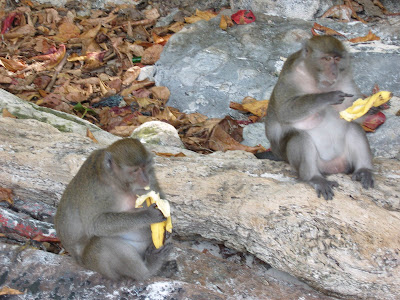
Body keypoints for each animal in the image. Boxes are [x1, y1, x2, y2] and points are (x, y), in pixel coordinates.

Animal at [54, 138, 170, 282]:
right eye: (135, 170)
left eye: (144, 167)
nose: (145, 179)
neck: (117, 182)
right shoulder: (97, 191)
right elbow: (96, 224)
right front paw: (147, 215)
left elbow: (157, 193)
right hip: (92, 264)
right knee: (101, 244)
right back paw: (149, 268)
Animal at [256, 35, 376, 199]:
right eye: (326, 59)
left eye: (337, 59)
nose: (334, 72)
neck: (316, 80)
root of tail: (334, 168)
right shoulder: (290, 76)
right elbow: (284, 111)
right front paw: (326, 97)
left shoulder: (346, 76)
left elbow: (354, 115)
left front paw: (372, 108)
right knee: (300, 137)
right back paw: (314, 177)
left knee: (353, 127)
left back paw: (364, 170)